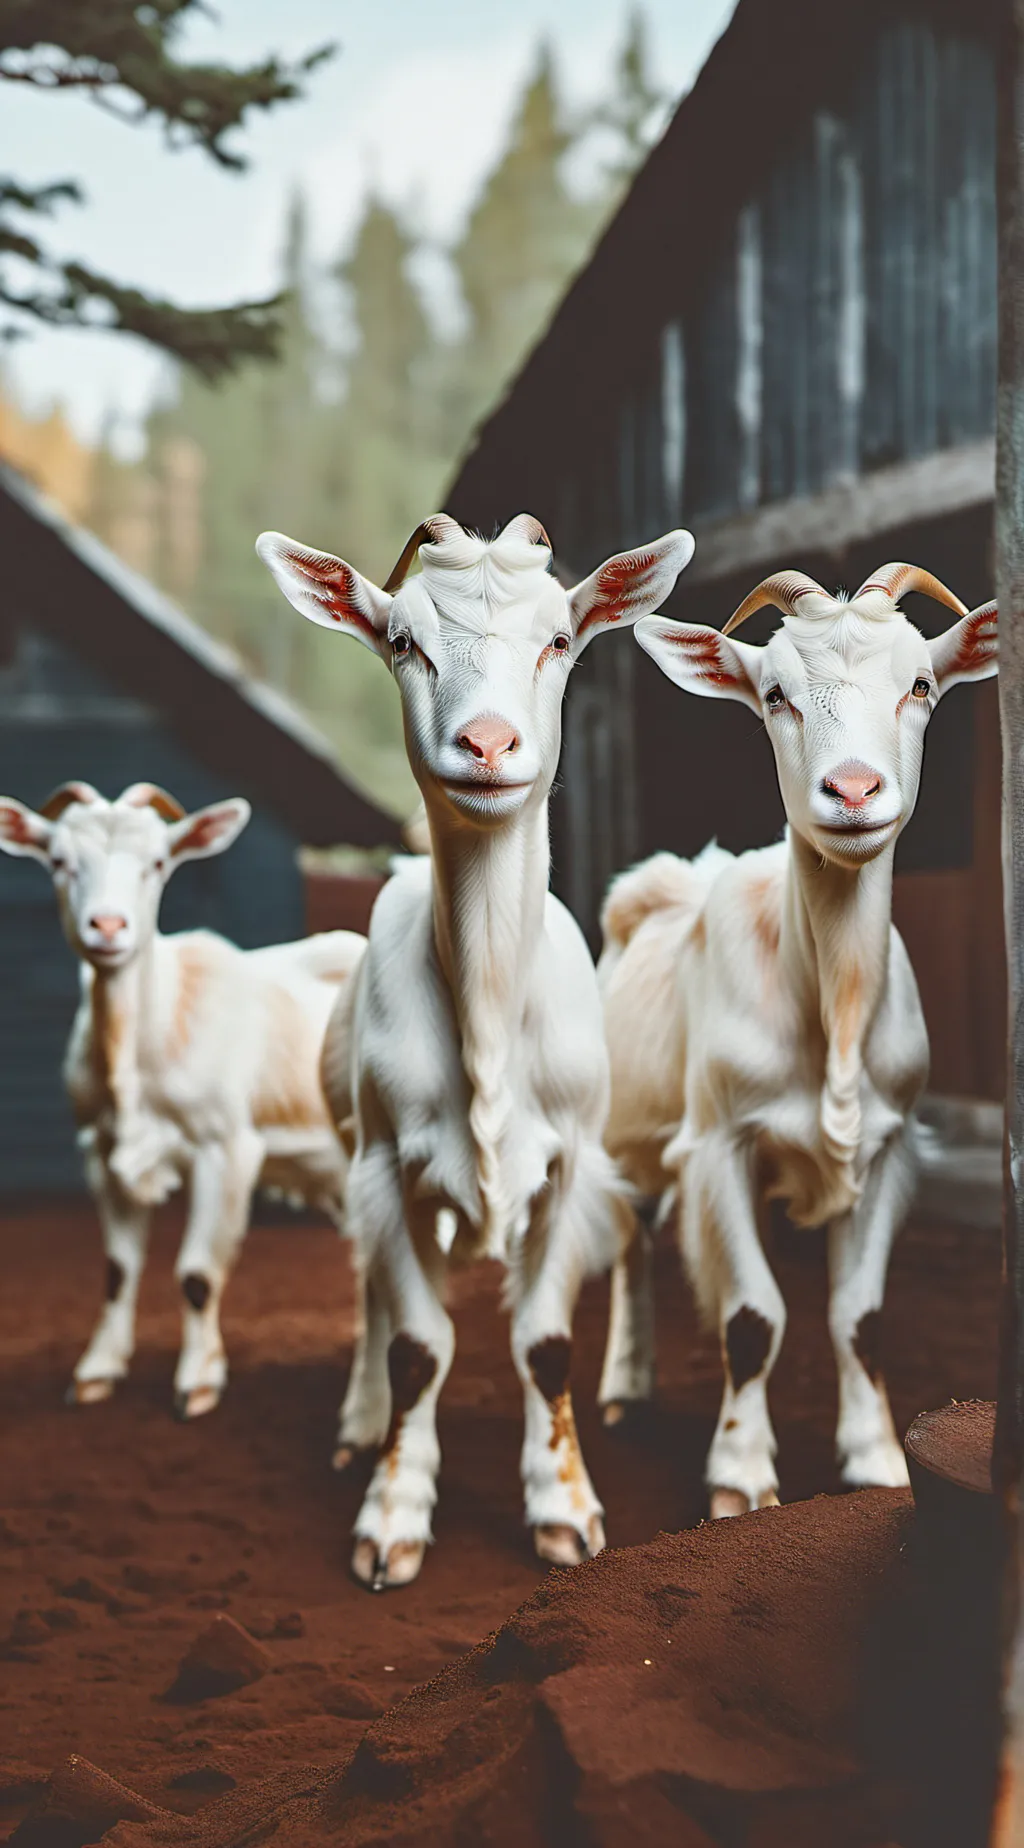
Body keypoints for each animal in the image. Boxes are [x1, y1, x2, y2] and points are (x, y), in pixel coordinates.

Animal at [0, 781, 365, 1417]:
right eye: (61, 862)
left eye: (156, 864)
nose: (108, 926)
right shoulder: (102, 1151)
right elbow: (117, 1271)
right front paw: (96, 1371)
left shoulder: (227, 1148)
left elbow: (196, 1274)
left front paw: (197, 1381)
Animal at [258, 511, 694, 1586]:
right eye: (402, 640)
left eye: (558, 638)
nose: (488, 742)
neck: (490, 1013)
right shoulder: (387, 1164)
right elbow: (416, 1344)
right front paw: (391, 1517)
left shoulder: (570, 1166)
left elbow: (544, 1344)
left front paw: (565, 1511)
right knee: (372, 1291)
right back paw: (359, 1422)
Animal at [597, 564, 997, 1516]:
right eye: (774, 694)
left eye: (920, 685)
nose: (852, 792)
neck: (835, 1007)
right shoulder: (719, 1145)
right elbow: (752, 1320)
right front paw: (741, 1481)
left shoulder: (888, 1148)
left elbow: (859, 1317)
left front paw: (876, 1458)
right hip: (623, 1128)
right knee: (628, 1238)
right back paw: (625, 1384)